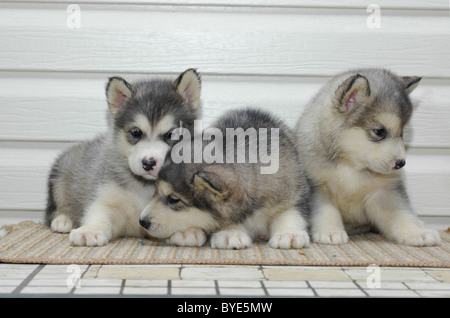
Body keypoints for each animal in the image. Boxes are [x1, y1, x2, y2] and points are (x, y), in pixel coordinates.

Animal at [45, 68, 200, 246]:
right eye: (136, 132)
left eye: (170, 134)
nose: (148, 163)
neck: (146, 186)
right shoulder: (107, 198)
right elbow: (100, 214)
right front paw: (90, 230)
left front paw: (188, 230)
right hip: (59, 177)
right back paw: (63, 220)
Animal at [139, 108, 312, 250]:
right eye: (155, 191)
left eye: (174, 199)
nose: (142, 222)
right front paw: (230, 232)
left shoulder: (295, 190)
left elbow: (290, 213)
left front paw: (289, 233)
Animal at [294, 67, 442, 246]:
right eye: (379, 131)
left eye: (402, 133)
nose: (401, 163)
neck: (350, 164)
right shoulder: (318, 186)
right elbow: (326, 211)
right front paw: (330, 231)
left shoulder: (383, 192)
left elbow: (399, 215)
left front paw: (414, 232)